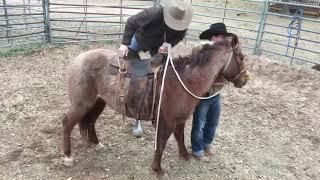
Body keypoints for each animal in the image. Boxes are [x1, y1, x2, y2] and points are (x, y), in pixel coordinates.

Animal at [62, 34, 248, 176]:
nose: (245, 79)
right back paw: (67, 157)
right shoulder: (167, 122)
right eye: (241, 57)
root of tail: (78, 59)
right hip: (81, 104)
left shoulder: (179, 120)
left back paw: (96, 143)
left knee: (90, 122)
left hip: (98, 102)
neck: (183, 80)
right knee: (67, 123)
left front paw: (185, 156)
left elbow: (180, 138)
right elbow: (161, 144)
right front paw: (158, 169)